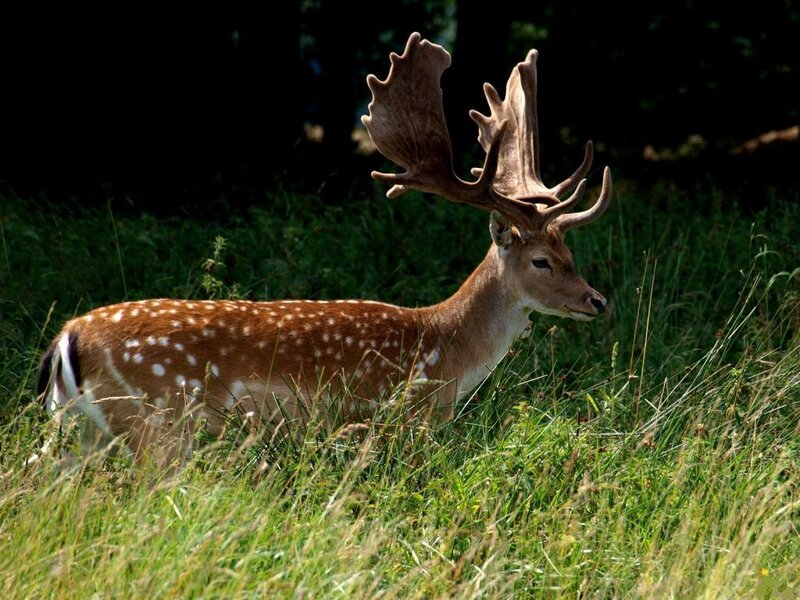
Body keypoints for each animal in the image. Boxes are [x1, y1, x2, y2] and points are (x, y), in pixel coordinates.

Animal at [33, 32, 612, 466]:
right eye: (541, 260)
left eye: (571, 252)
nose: (597, 301)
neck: (443, 352)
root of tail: (68, 337)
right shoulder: (394, 420)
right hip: (157, 419)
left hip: (80, 428)